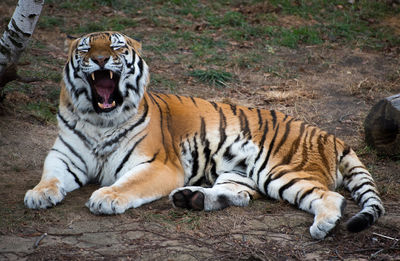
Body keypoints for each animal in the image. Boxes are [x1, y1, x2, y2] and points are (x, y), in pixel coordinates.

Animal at [24, 30, 384, 238]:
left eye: (116, 47)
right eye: (85, 50)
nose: (100, 59)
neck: (100, 120)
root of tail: (330, 136)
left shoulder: (159, 165)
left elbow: (127, 184)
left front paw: (106, 197)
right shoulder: (64, 156)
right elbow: (50, 176)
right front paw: (38, 195)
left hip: (279, 170)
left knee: (331, 197)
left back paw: (323, 226)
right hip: (240, 172)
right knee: (240, 195)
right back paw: (192, 198)